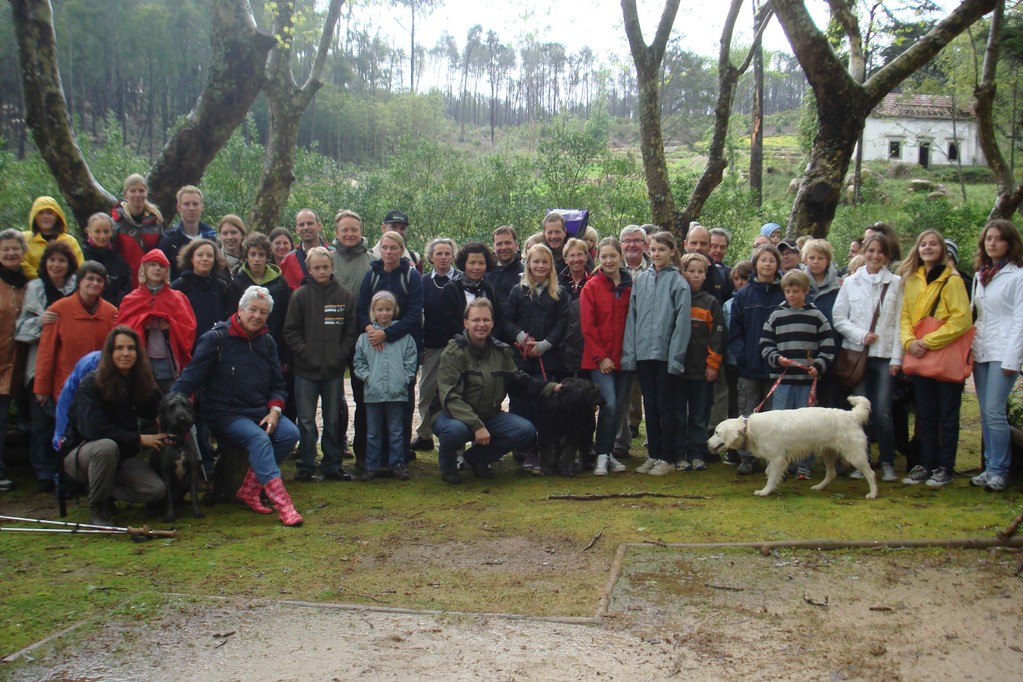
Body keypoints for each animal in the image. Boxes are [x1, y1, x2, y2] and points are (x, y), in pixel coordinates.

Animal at [707, 392, 875, 498]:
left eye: (716, 432)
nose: (706, 443)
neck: (749, 428)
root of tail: (851, 415)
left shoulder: (778, 459)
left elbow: (771, 477)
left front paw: (765, 491)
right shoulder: (776, 459)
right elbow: (770, 472)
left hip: (854, 455)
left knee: (870, 473)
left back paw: (872, 494)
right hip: (827, 452)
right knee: (832, 473)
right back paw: (818, 487)